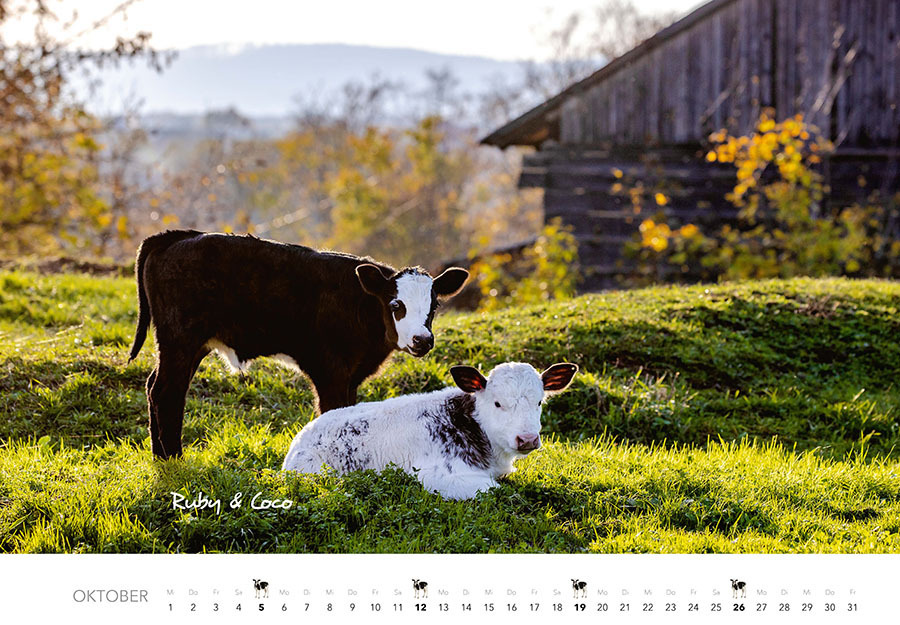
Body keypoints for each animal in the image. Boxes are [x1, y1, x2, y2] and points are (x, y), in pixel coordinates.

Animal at [129, 229, 468, 458]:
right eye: (396, 305)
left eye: (434, 305)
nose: (422, 340)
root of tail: (178, 237)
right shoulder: (330, 370)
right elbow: (333, 412)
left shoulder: (351, 374)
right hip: (179, 336)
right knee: (166, 392)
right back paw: (172, 458)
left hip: (188, 344)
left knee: (155, 384)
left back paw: (160, 456)